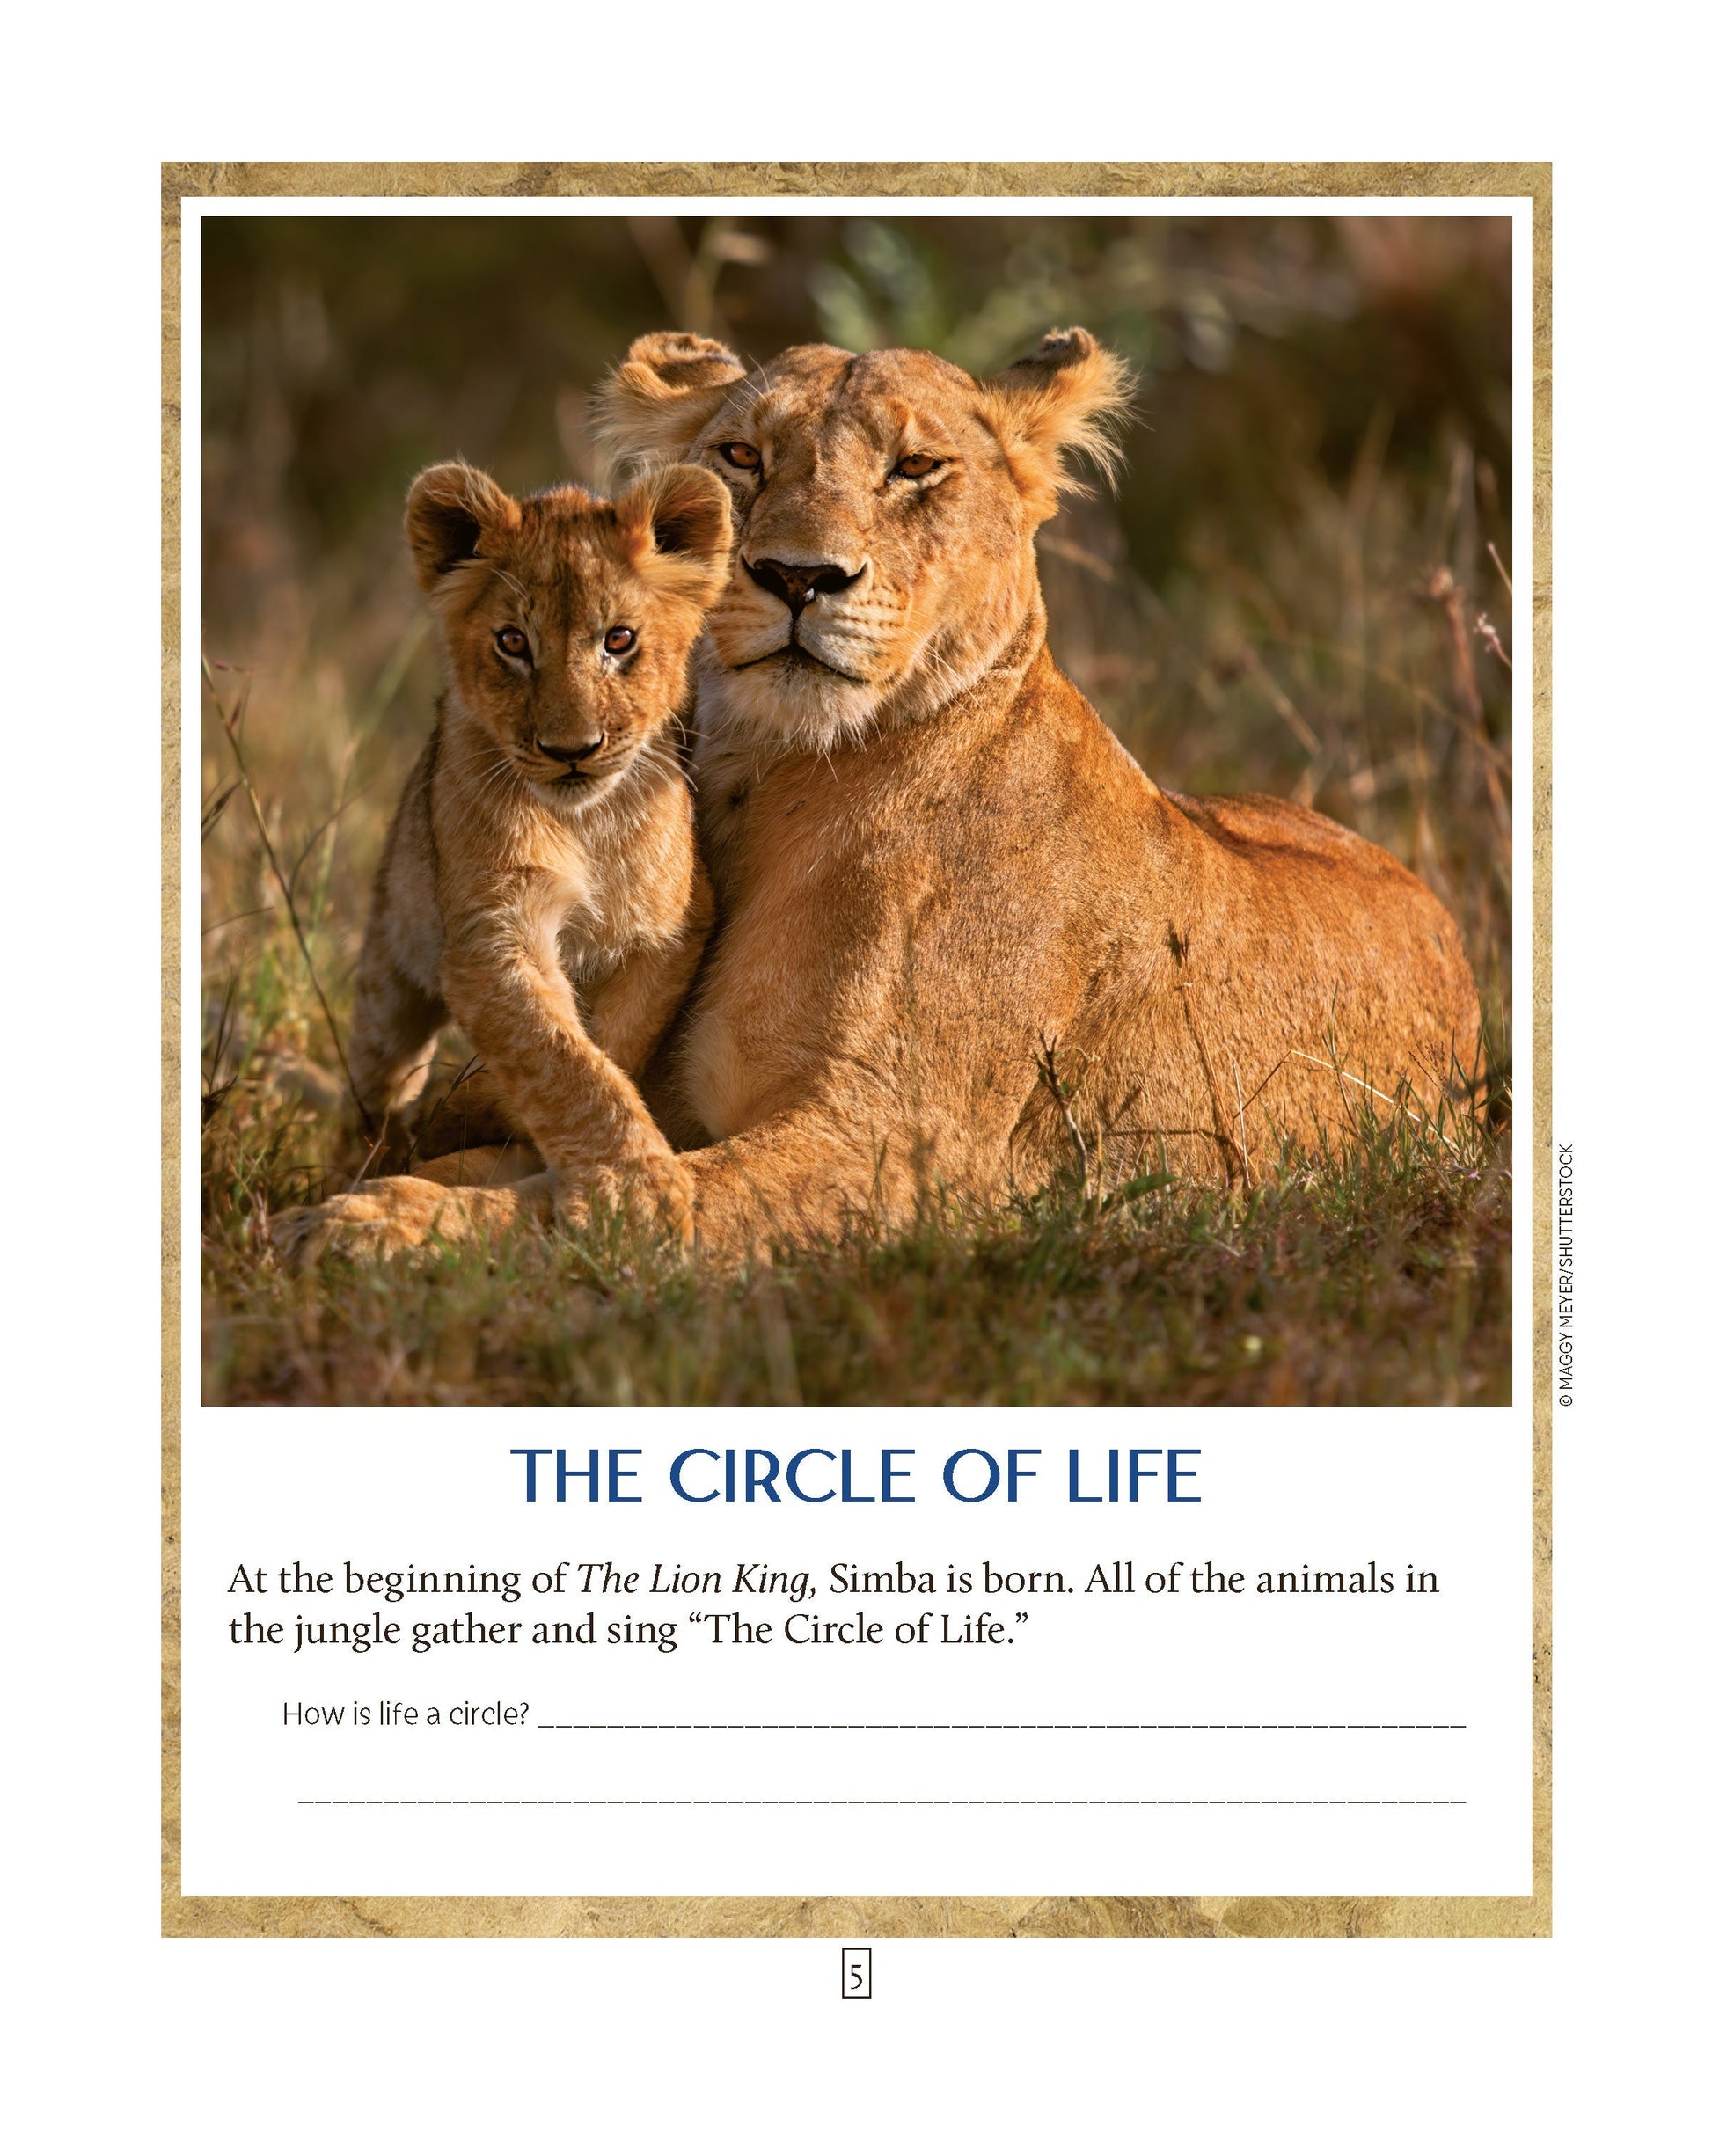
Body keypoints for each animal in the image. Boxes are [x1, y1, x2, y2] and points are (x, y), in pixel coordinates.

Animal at [299, 458, 729, 1233]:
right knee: (377, 1079)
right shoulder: (490, 932)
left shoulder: (672, 928)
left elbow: (609, 1041)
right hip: (389, 972)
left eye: (619, 640)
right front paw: (635, 1190)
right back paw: (371, 1151)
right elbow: (558, 1055)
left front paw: (495, 1115)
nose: (572, 750)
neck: (585, 823)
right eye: (513, 643)